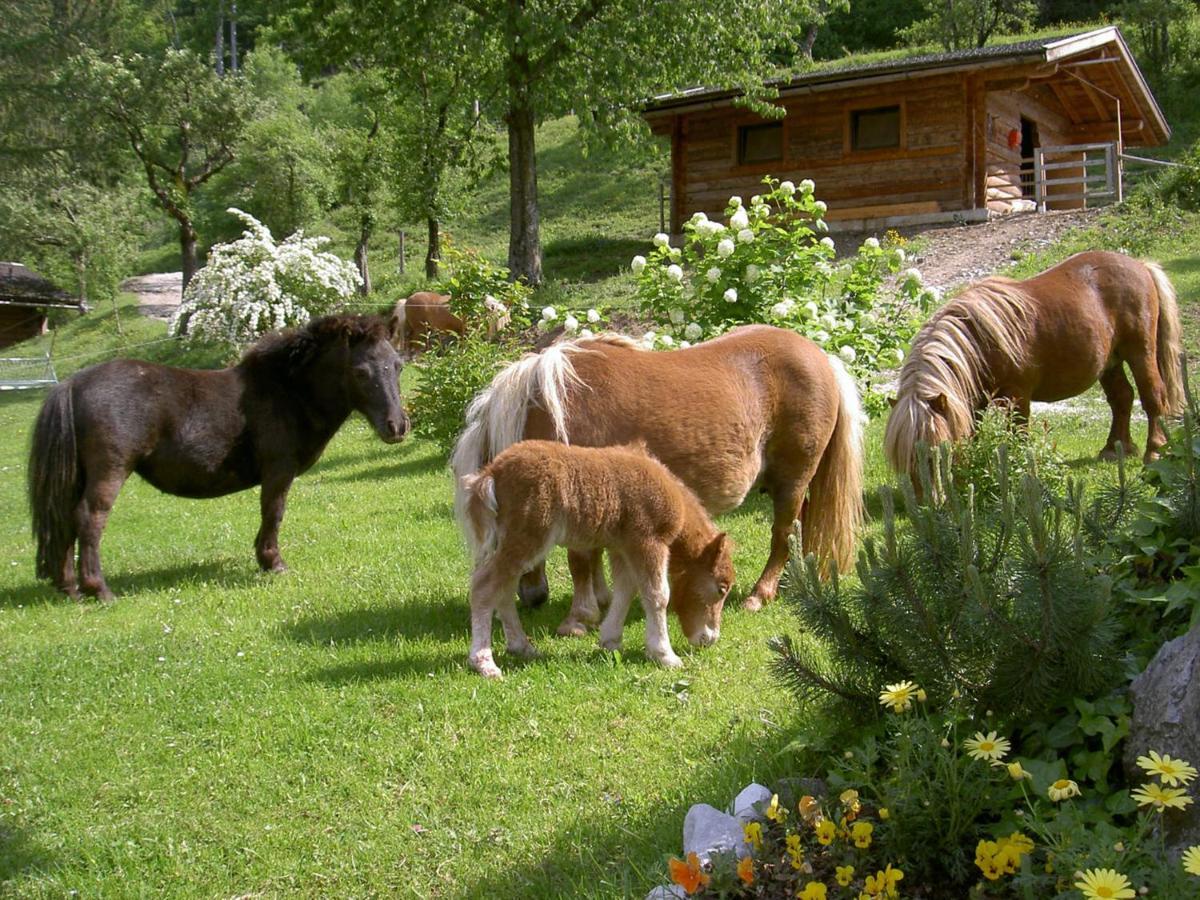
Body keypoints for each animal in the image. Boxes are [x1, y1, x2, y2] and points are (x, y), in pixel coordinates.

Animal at [28, 314, 410, 602]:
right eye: (360, 372)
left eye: (397, 366)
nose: (397, 425)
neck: (288, 391)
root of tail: (72, 383)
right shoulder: (278, 471)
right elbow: (273, 513)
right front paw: (272, 562)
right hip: (110, 472)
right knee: (89, 519)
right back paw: (99, 589)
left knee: (65, 518)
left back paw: (70, 588)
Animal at [451, 328, 864, 638]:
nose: (532, 596)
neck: (557, 411)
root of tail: (822, 357)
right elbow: (593, 554)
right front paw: (600, 600)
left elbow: (580, 559)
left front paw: (578, 617)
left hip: (792, 480)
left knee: (784, 534)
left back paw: (761, 594)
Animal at [883, 248, 1180, 480]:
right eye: (904, 461)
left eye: (936, 453)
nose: (929, 504)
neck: (979, 340)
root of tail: (1141, 266)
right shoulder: (973, 404)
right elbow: (973, 434)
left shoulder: (1017, 396)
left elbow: (1020, 433)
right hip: (1110, 363)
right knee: (1122, 398)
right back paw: (1115, 448)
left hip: (1140, 352)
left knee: (1152, 397)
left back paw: (1153, 453)